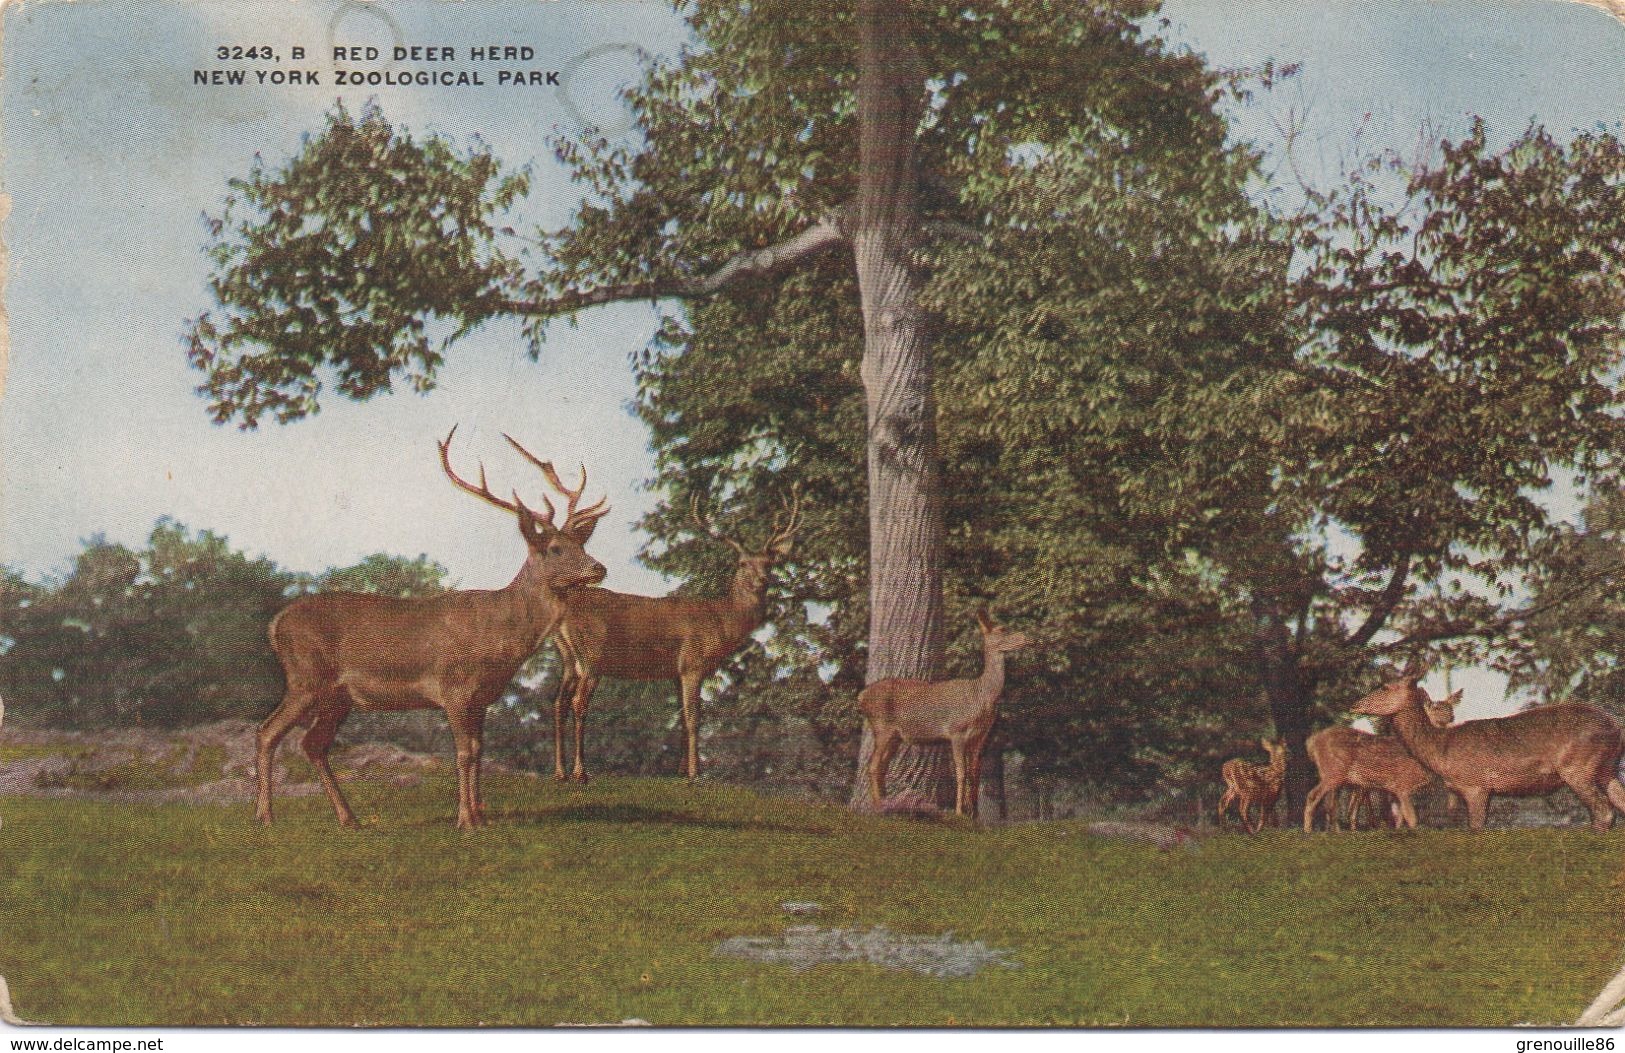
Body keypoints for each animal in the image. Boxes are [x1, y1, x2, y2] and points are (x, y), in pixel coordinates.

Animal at [256, 429, 611, 832]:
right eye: (554, 548)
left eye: (582, 543)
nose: (599, 568)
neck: (500, 639)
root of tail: (275, 623)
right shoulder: (453, 689)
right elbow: (463, 753)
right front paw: (465, 820)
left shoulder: (482, 699)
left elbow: (479, 751)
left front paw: (481, 816)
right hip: (305, 678)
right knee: (267, 732)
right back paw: (265, 816)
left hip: (337, 696)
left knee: (313, 743)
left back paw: (349, 818)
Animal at [542, 484, 802, 780]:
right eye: (743, 563)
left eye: (769, 562)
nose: (762, 580)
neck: (721, 622)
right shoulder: (692, 663)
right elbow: (693, 716)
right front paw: (695, 773)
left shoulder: (677, 672)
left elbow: (680, 716)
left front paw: (680, 770)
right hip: (592, 656)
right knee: (578, 703)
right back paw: (580, 773)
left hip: (568, 659)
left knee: (558, 703)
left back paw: (559, 772)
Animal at [858, 607, 1020, 822]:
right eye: (1003, 629)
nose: (1026, 637)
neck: (982, 696)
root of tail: (861, 697)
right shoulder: (956, 730)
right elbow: (961, 772)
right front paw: (960, 812)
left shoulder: (980, 737)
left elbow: (975, 773)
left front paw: (975, 815)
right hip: (881, 725)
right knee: (873, 766)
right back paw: (878, 808)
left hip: (895, 736)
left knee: (882, 766)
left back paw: (888, 805)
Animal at [1300, 692, 1469, 832]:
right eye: (1435, 707)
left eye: (1449, 707)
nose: (1451, 716)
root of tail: (1312, 741)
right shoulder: (1402, 784)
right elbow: (1411, 819)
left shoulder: (1397, 790)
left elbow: (1400, 819)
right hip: (1334, 772)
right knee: (1314, 796)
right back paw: (1309, 831)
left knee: (1330, 804)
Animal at [1352, 669, 1625, 832]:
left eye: (1385, 686)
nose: (1356, 705)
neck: (1441, 752)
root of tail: (1616, 727)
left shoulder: (1475, 785)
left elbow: (1476, 827)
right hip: (1607, 768)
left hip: (1577, 767)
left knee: (1603, 812)